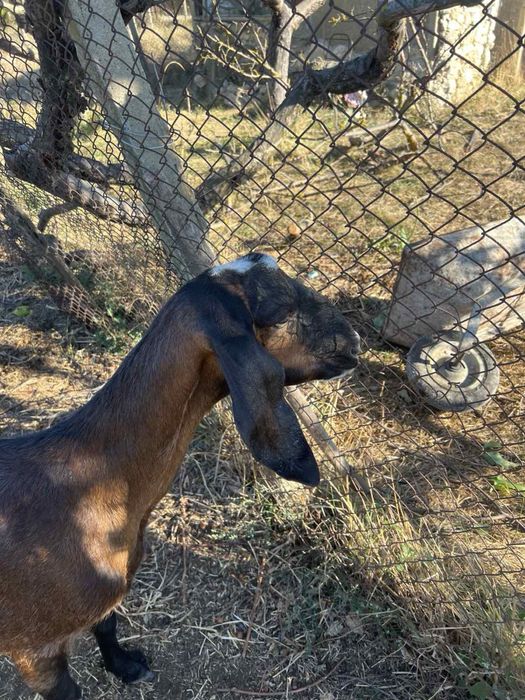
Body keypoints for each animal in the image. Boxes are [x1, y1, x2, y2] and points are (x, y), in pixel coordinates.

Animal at [0, 253, 360, 699]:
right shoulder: (34, 649)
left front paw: (126, 667)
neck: (89, 482)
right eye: (281, 310)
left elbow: (108, 622)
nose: (354, 340)